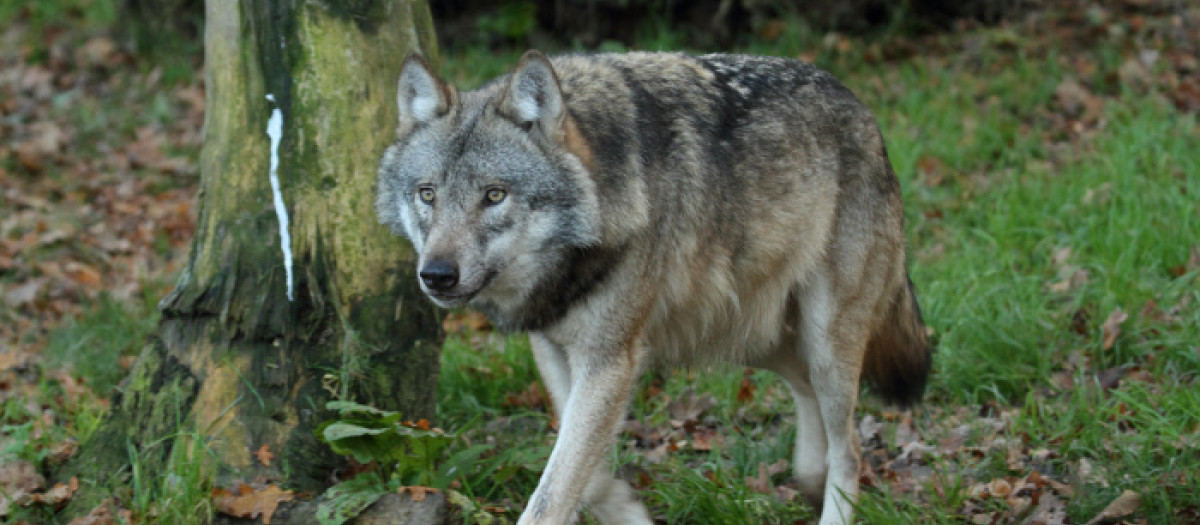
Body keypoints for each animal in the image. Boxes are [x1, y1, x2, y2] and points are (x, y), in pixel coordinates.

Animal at [379, 49, 931, 525]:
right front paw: (628, 513)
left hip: (822, 339)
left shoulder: (609, 362)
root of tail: (863, 109)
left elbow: (551, 495)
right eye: (427, 194)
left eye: (494, 195)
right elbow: (585, 474)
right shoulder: (554, 350)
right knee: (806, 395)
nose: (436, 274)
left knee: (851, 449)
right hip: (752, 336)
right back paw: (808, 480)